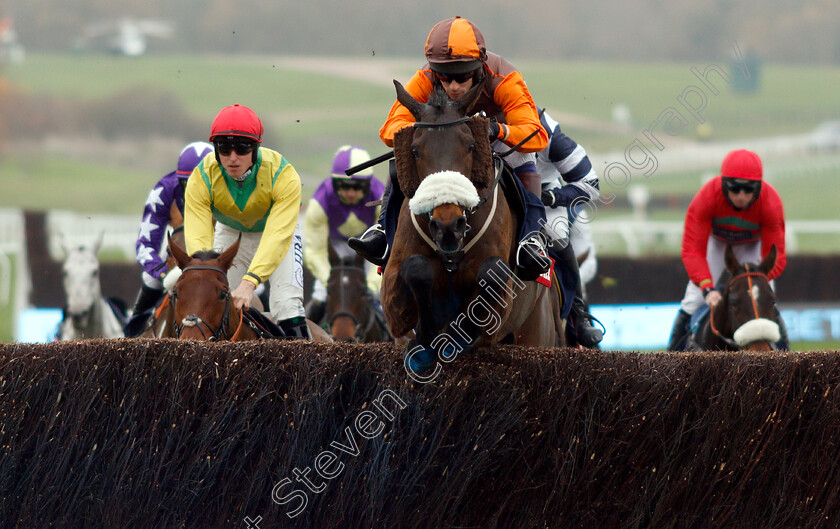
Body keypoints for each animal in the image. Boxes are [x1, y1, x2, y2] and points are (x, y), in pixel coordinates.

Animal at [382, 78, 564, 378]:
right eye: (415, 150)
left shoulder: (501, 298)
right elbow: (416, 269)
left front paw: (456, 337)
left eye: (469, 145)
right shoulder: (392, 290)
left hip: (538, 330)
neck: (451, 253)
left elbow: (491, 275)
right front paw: (426, 341)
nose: (448, 224)